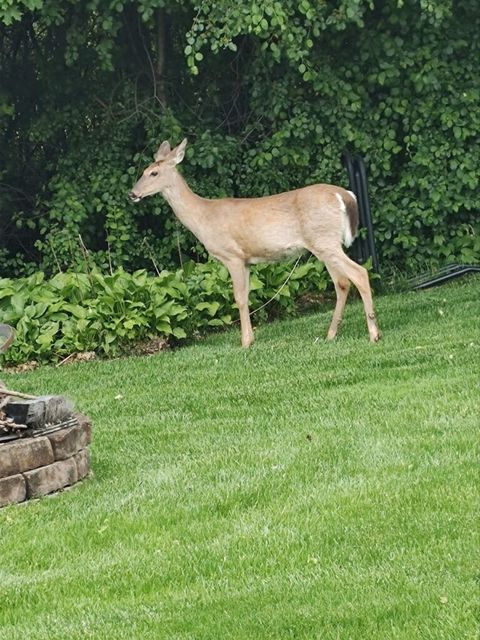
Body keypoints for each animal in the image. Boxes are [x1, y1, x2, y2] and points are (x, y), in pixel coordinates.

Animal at [129, 139, 380, 348]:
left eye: (154, 173)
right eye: (143, 171)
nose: (132, 193)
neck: (203, 217)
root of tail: (344, 195)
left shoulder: (233, 255)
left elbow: (239, 299)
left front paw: (245, 343)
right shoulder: (248, 261)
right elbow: (247, 297)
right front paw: (251, 338)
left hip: (324, 240)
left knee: (359, 273)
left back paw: (373, 334)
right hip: (324, 243)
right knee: (342, 283)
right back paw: (330, 335)